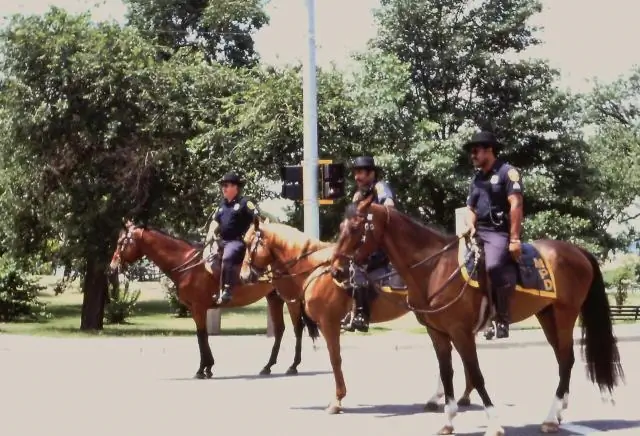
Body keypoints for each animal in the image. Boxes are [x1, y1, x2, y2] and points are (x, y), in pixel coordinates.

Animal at [112, 220, 320, 380]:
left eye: (121, 242)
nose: (113, 266)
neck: (187, 265)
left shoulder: (198, 307)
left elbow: (201, 335)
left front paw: (203, 369)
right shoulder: (197, 309)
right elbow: (202, 335)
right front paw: (208, 367)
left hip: (291, 300)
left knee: (297, 328)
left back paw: (293, 365)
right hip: (274, 298)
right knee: (279, 330)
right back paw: (268, 366)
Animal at [239, 221, 476, 416]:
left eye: (249, 243)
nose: (243, 276)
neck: (316, 269)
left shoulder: (329, 324)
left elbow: (335, 360)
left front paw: (337, 400)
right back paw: (455, 395)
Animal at [330, 195, 624, 436]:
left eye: (355, 228)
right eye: (340, 228)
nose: (337, 271)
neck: (434, 268)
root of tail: (578, 251)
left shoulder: (461, 332)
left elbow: (475, 372)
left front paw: (493, 423)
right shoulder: (438, 333)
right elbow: (447, 372)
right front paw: (448, 421)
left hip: (565, 314)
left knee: (566, 360)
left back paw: (551, 418)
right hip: (547, 315)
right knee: (564, 360)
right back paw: (558, 412)